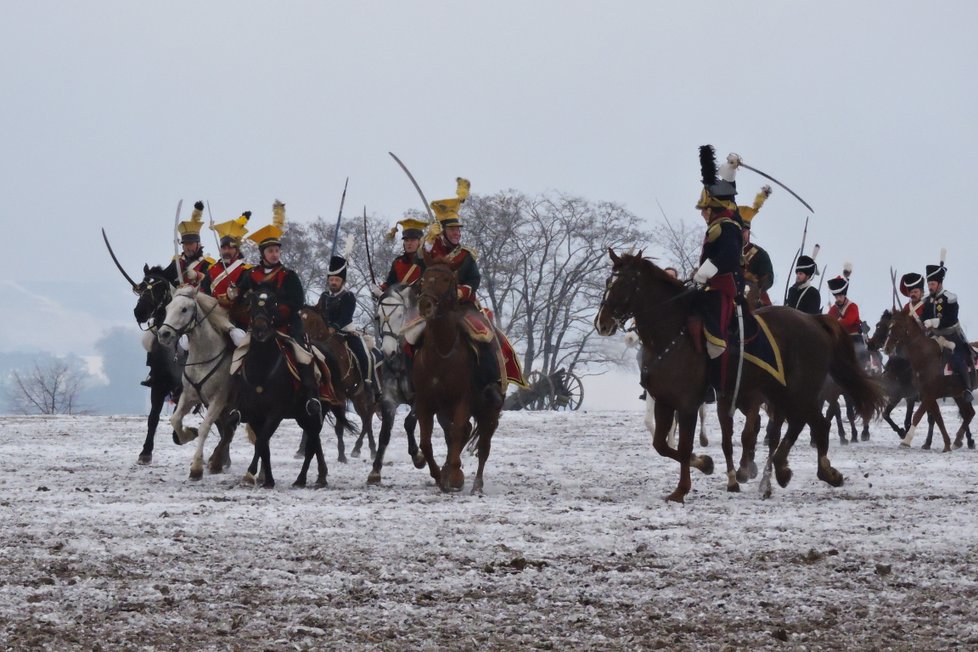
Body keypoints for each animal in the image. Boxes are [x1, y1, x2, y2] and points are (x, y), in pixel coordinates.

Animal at [160, 286, 238, 478]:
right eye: (167, 308)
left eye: (184, 309)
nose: (163, 334)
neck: (204, 357)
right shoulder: (189, 396)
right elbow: (175, 420)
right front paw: (189, 433)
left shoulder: (218, 400)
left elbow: (204, 427)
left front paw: (196, 467)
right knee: (228, 431)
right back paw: (217, 461)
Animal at [414, 262, 504, 492]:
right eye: (423, 279)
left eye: (446, 280)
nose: (425, 305)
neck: (442, 352)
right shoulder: (425, 403)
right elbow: (426, 442)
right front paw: (440, 476)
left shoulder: (462, 400)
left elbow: (456, 434)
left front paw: (453, 477)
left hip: (489, 411)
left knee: (483, 446)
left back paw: (476, 485)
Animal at [592, 252, 880, 502]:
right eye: (608, 282)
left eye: (625, 282)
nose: (602, 323)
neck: (672, 333)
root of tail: (813, 321)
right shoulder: (665, 401)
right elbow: (662, 445)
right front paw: (706, 464)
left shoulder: (690, 404)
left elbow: (689, 445)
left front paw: (682, 490)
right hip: (785, 394)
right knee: (800, 424)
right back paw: (782, 471)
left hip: (799, 392)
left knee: (817, 424)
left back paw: (822, 472)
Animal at [880, 308, 972, 450]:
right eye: (888, 326)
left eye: (899, 326)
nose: (887, 348)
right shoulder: (923, 395)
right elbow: (937, 418)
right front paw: (945, 444)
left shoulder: (923, 396)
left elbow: (917, 416)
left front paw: (906, 439)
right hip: (958, 394)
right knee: (969, 414)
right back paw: (958, 440)